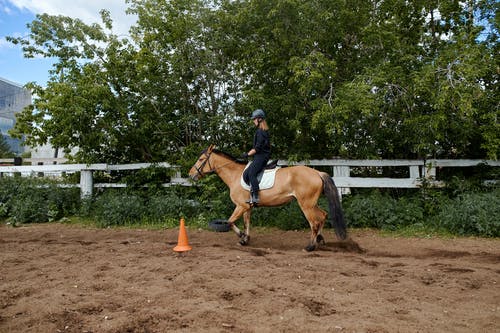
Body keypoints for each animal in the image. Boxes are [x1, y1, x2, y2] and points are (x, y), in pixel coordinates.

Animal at [188, 144, 348, 250]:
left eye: (201, 159)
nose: (190, 174)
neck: (234, 175)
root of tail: (317, 173)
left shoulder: (241, 206)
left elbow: (230, 222)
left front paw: (241, 236)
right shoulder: (247, 207)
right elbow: (246, 223)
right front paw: (245, 240)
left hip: (306, 205)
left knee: (314, 222)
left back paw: (310, 246)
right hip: (311, 203)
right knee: (323, 215)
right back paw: (320, 240)